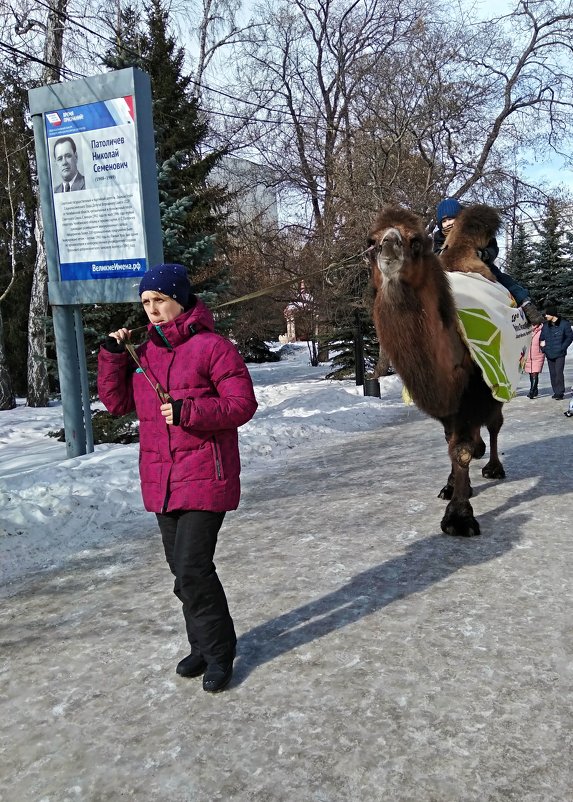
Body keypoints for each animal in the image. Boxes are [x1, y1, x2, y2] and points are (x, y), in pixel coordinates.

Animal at [368, 205, 502, 536]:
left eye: (416, 241)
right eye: (371, 241)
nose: (389, 245)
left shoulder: (479, 388)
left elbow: (461, 449)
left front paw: (459, 517)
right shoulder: (449, 405)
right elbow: (451, 443)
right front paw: (453, 489)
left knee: (495, 424)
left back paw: (493, 467)